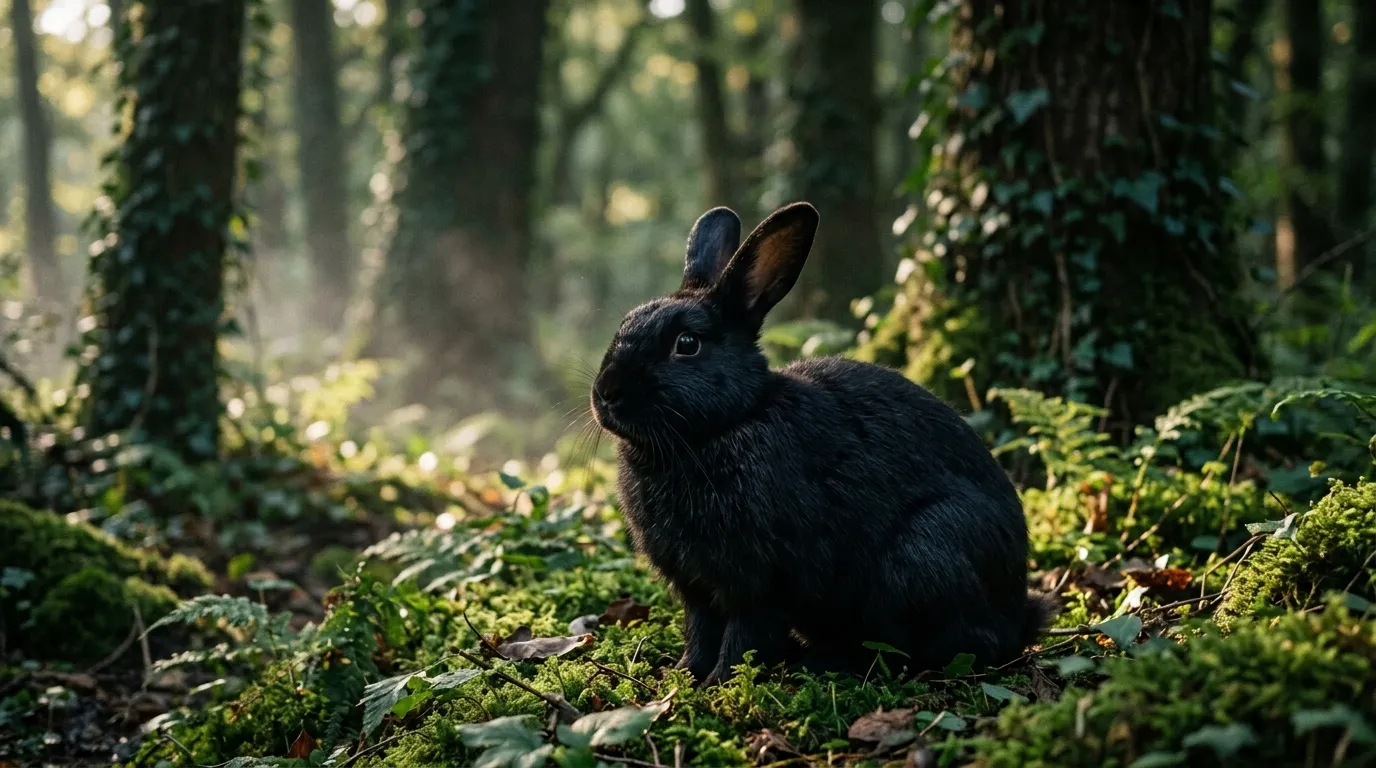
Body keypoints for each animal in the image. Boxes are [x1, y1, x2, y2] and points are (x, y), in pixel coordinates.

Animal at [590, 201, 1052, 685]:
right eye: (624, 323)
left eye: (687, 344)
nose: (606, 392)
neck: (724, 425)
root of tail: (1017, 618)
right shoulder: (697, 587)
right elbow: (700, 630)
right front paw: (682, 676)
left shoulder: (765, 580)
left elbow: (744, 635)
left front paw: (720, 683)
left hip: (925, 555)